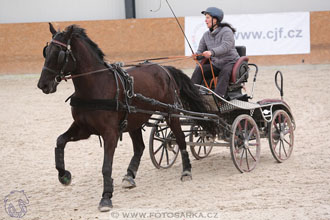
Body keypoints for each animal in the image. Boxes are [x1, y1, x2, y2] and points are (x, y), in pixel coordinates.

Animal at [37, 23, 217, 211]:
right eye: (46, 51)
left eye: (59, 54)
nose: (42, 84)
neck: (96, 86)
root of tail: (164, 69)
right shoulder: (82, 128)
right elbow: (60, 141)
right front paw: (64, 175)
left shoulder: (110, 133)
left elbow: (106, 166)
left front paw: (106, 197)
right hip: (134, 121)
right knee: (140, 147)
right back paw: (129, 176)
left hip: (170, 114)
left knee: (180, 139)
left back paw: (186, 171)